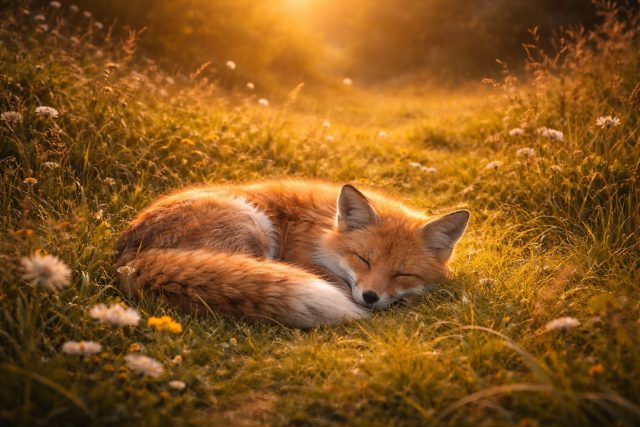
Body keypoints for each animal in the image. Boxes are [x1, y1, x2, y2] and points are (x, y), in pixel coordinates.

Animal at [114, 180, 469, 328]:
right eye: (363, 259)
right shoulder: (303, 261)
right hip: (254, 227)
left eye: (402, 273)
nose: (370, 296)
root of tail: (128, 260)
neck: (321, 231)